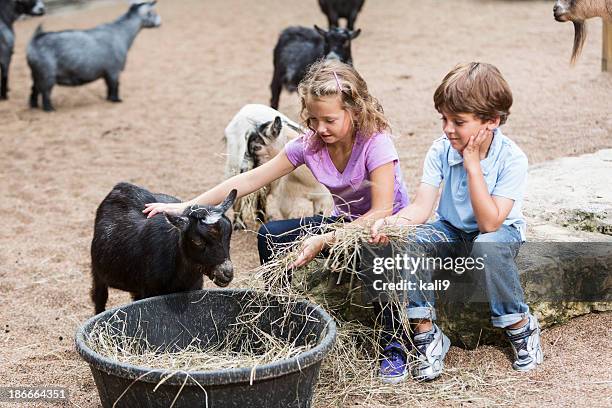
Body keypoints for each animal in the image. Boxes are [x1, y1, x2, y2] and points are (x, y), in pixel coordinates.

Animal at [26, 0, 160, 111]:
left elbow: (109, 86)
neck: (121, 32)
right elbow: (115, 85)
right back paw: (49, 109)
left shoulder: (107, 73)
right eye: (152, 13)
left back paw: (34, 106)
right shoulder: (114, 70)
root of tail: (35, 40)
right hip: (47, 74)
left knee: (34, 89)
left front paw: (109, 99)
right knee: (45, 92)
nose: (160, 21)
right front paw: (116, 100)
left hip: (36, 74)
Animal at [91, 183, 237, 314]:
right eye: (197, 241)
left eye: (229, 235)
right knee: (99, 297)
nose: (227, 273)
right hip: (97, 272)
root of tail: (120, 187)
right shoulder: (150, 290)